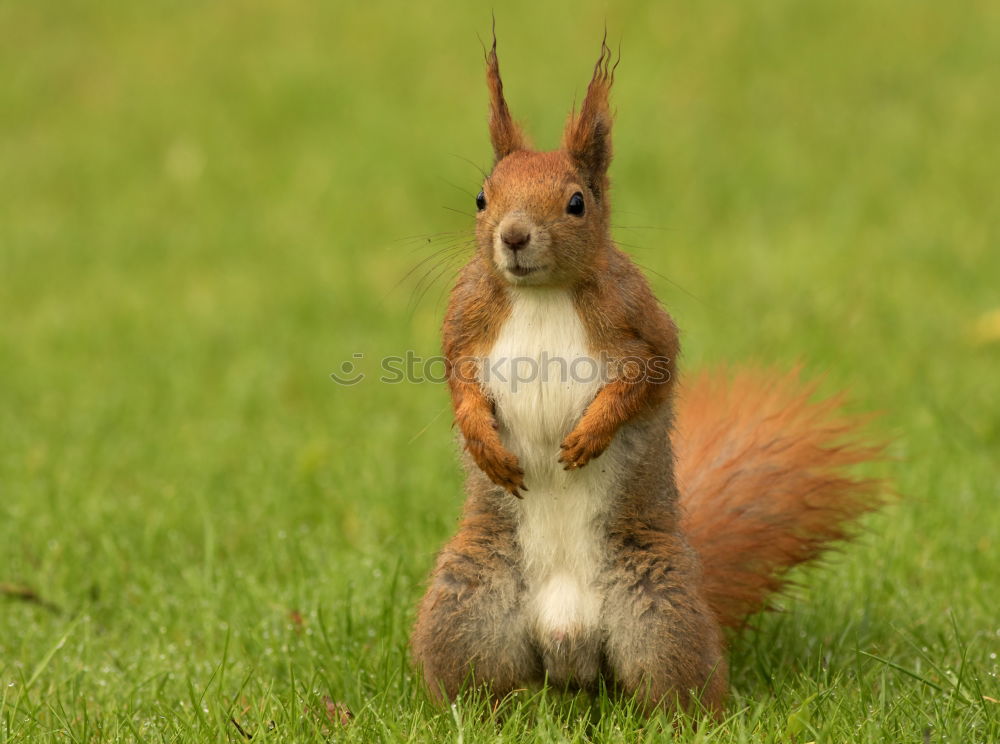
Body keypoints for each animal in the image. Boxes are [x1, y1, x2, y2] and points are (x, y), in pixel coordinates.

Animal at [412, 36, 884, 716]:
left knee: (672, 686)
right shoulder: (464, 320)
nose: (514, 236)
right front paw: (482, 440)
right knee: (478, 683)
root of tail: (566, 644)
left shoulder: (644, 322)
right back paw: (485, 711)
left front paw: (589, 436)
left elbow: (647, 379)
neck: (541, 294)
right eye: (482, 197)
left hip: (660, 617)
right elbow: (458, 381)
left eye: (576, 202)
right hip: (465, 605)